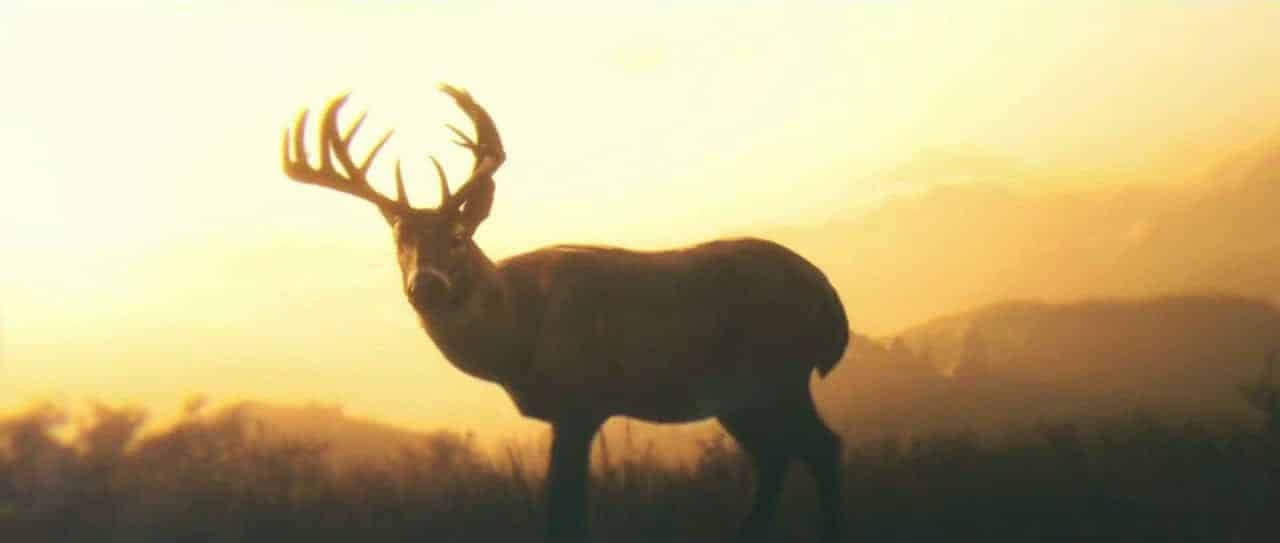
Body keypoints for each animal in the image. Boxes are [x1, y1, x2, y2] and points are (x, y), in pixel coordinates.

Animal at [280, 85, 851, 543]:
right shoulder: (565, 410)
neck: (519, 334)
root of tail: (828, 298)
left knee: (821, 446)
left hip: (776, 373)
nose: (426, 285)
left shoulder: (580, 401)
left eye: (459, 236)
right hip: (739, 395)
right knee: (778, 456)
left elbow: (566, 511)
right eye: (401, 241)